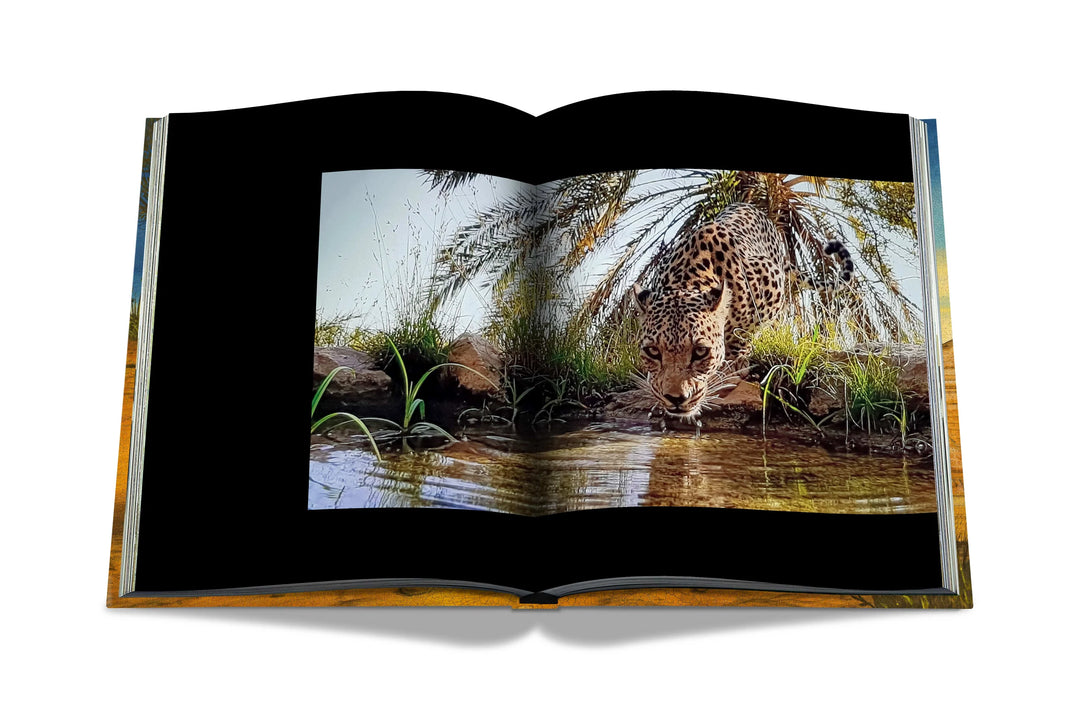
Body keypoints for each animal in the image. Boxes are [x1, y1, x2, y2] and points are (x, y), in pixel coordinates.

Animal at [632, 202, 852, 423]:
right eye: (652, 351)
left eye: (700, 352)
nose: (676, 398)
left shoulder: (771, 280)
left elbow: (746, 331)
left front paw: (737, 358)